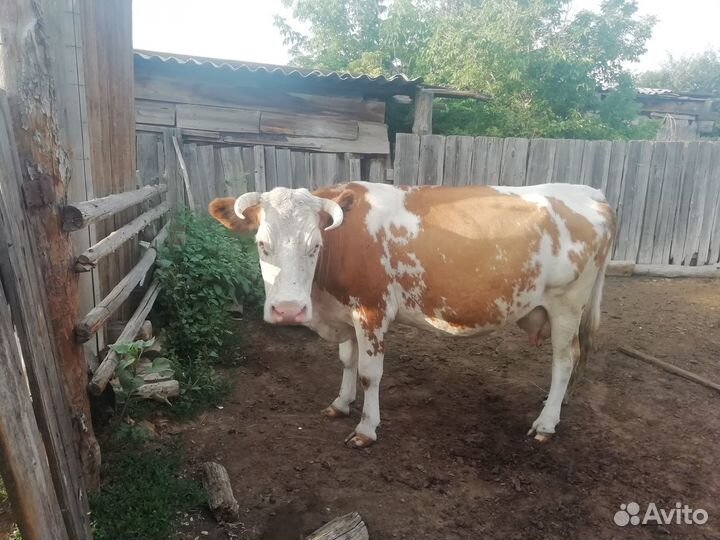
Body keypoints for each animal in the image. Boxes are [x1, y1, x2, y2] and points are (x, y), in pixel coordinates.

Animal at [209, 181, 615, 448]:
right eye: (262, 244)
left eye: (315, 245)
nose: (288, 310)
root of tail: (591, 192)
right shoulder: (346, 313)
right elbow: (346, 360)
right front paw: (341, 403)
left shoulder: (371, 310)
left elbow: (369, 373)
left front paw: (366, 428)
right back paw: (557, 405)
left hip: (566, 303)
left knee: (564, 361)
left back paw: (546, 421)